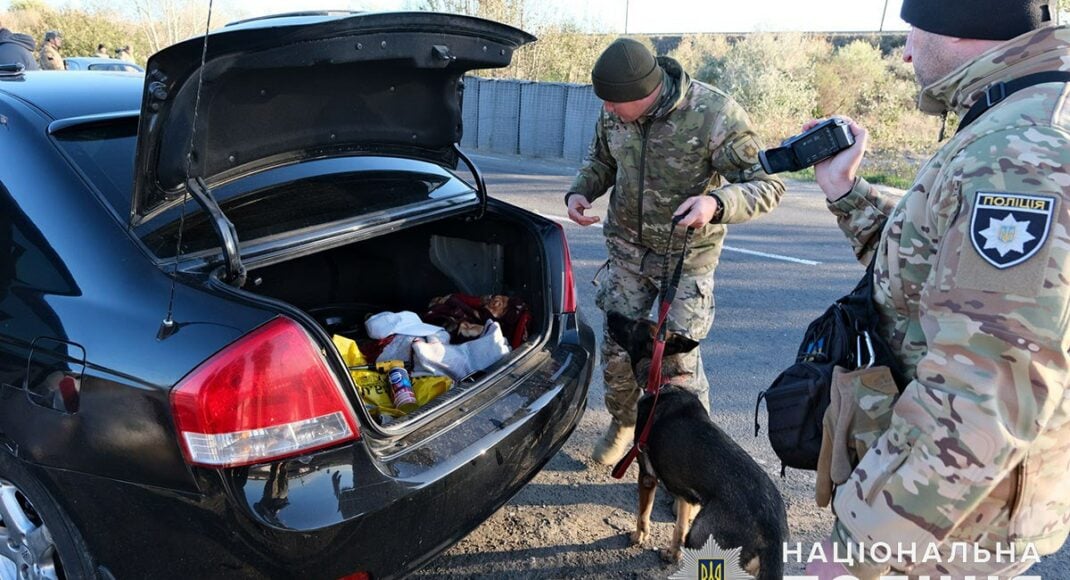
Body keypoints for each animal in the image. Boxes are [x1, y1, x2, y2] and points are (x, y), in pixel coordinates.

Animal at [612, 314, 787, 580]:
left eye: (633, 325)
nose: (610, 314)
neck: (665, 383)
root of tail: (773, 533)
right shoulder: (687, 496)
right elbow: (679, 528)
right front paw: (673, 554)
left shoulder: (647, 475)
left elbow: (643, 514)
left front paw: (638, 536)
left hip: (702, 534)